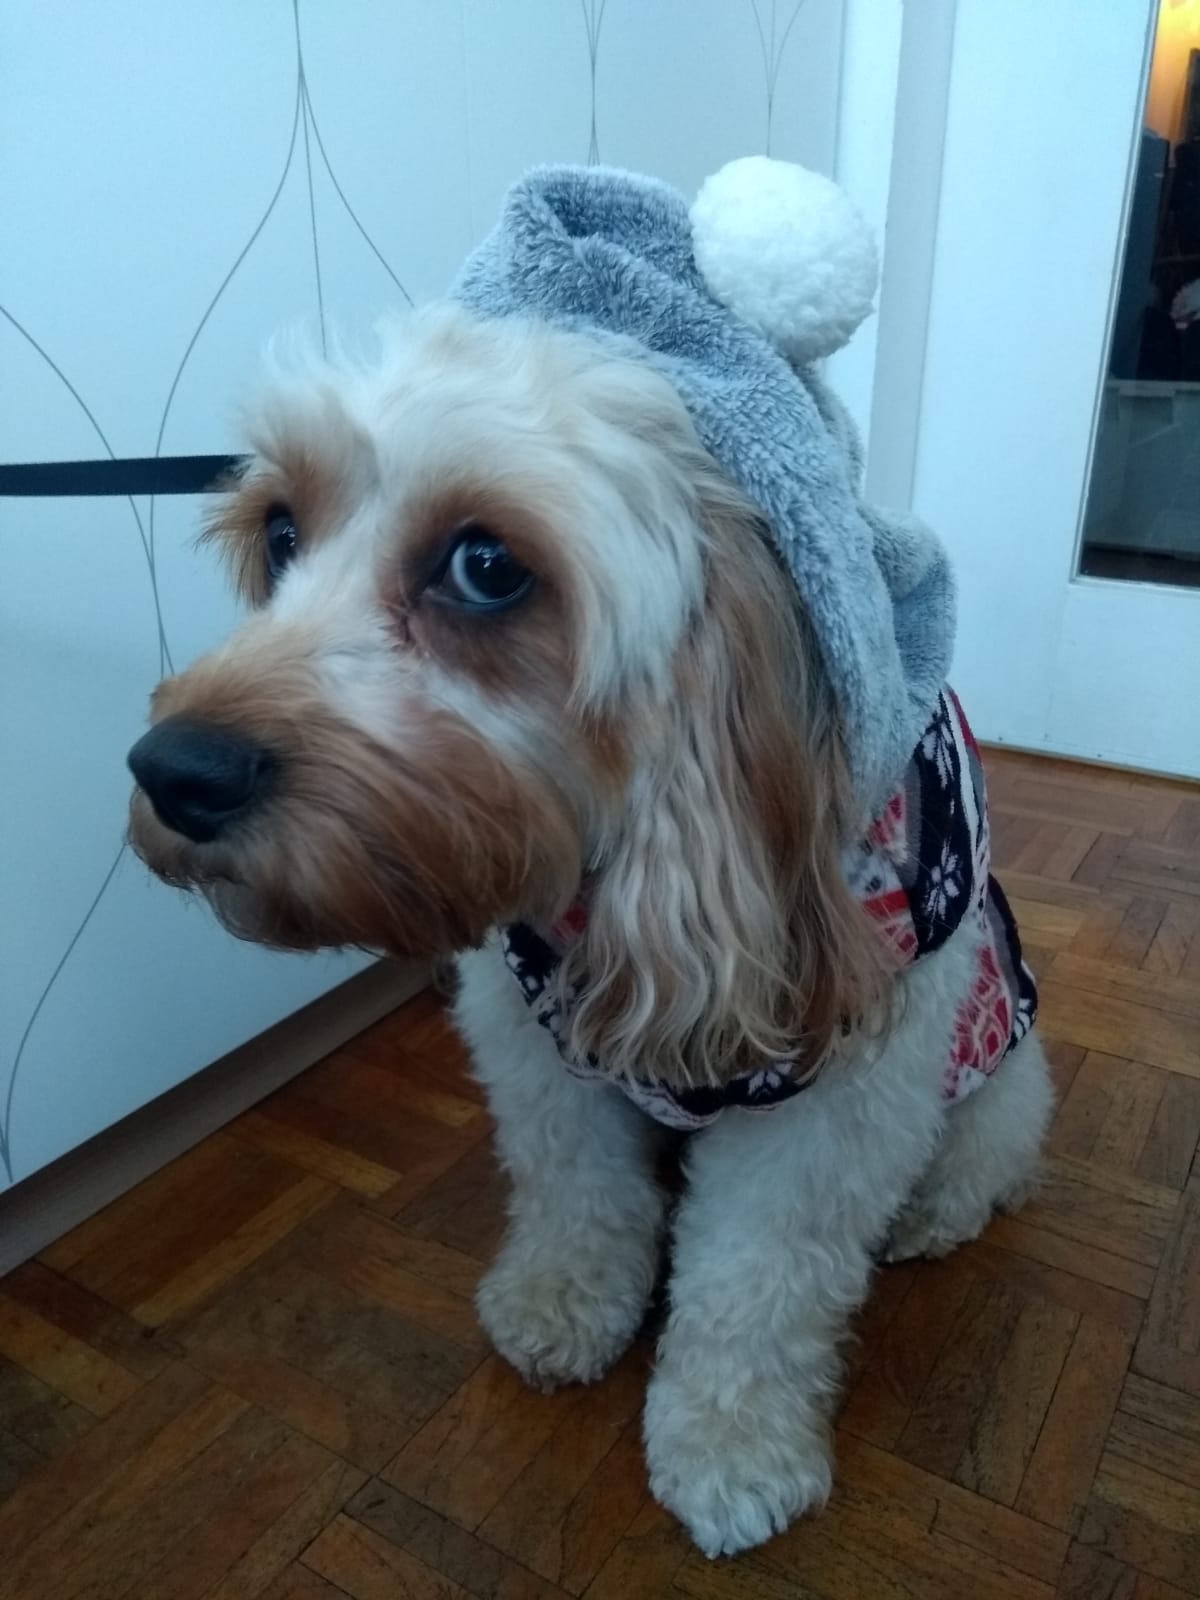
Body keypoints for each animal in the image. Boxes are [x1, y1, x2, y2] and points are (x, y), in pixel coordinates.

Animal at [127, 300, 1052, 1557]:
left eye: (486, 566)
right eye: (279, 531)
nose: (176, 772)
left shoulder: (830, 1114)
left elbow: (758, 1283)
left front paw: (730, 1444)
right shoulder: (535, 1046)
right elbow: (578, 1194)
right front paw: (563, 1305)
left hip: (997, 1062)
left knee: (982, 1156)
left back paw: (930, 1213)